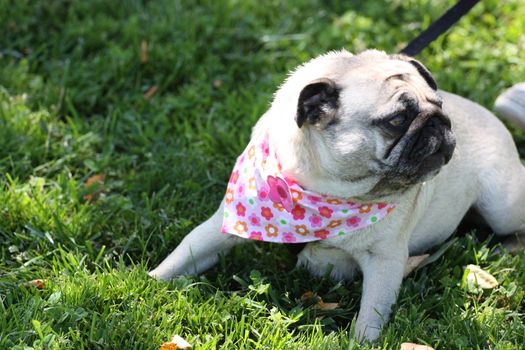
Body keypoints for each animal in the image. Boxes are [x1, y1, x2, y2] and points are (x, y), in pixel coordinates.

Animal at [148, 50, 524, 342]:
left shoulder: (385, 260)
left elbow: (372, 312)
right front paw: (149, 282)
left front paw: (361, 342)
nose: (439, 122)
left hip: (501, 205)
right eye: (397, 120)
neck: (324, 187)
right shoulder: (226, 223)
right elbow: (187, 251)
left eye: (439, 105)